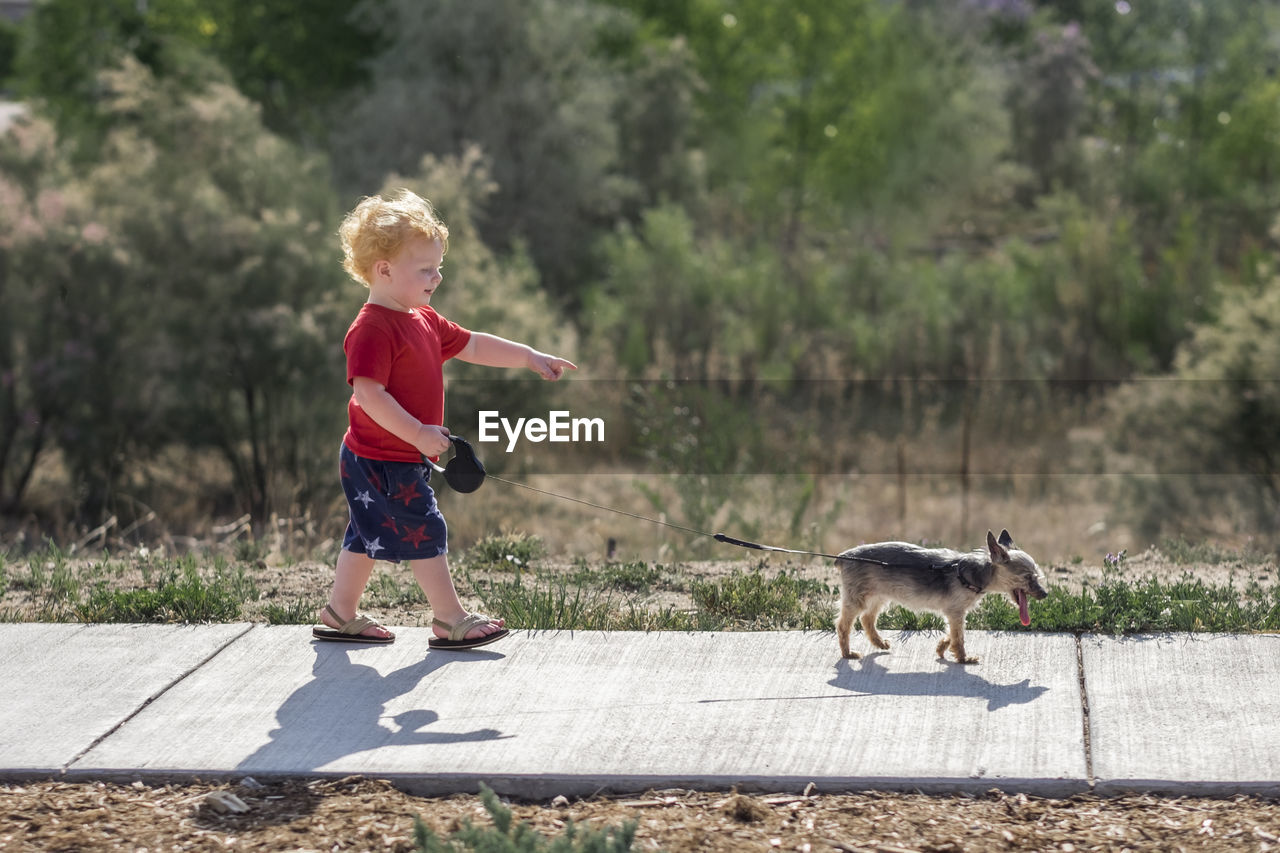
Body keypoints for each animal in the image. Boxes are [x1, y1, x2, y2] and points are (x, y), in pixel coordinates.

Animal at [834, 527, 1044, 660]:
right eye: (1027, 577)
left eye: (1037, 576)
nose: (1045, 594)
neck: (976, 573)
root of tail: (843, 556)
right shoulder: (956, 611)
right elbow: (959, 636)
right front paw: (963, 659)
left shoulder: (954, 612)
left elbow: (953, 632)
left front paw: (942, 647)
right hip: (857, 598)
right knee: (843, 625)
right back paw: (847, 654)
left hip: (879, 595)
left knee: (867, 618)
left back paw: (879, 643)